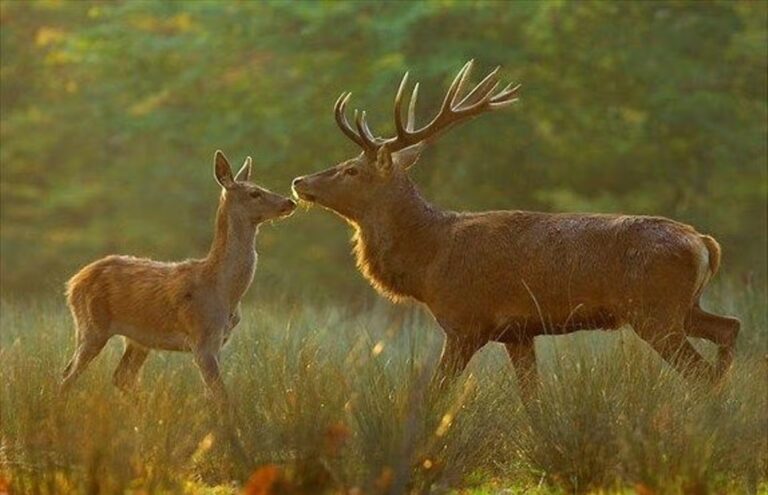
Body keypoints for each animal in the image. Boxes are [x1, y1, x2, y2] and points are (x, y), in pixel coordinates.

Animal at [62, 150, 296, 402]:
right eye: (254, 193)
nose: (289, 202)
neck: (223, 290)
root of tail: (73, 283)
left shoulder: (218, 342)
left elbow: (212, 396)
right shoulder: (203, 338)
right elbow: (222, 396)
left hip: (139, 338)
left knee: (120, 376)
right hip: (91, 325)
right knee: (68, 375)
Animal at [291, 61, 741, 394]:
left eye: (351, 170)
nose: (300, 181)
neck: (428, 261)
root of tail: (703, 242)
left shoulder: (465, 322)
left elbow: (437, 392)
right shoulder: (518, 333)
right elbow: (532, 399)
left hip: (654, 310)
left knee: (700, 372)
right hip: (682, 307)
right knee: (729, 328)